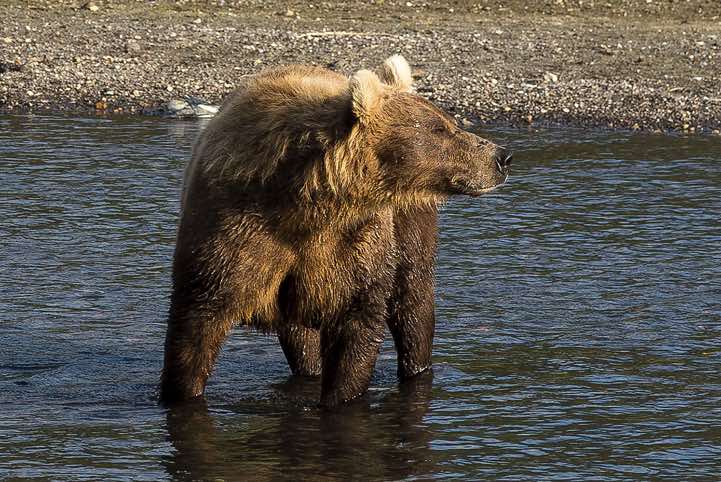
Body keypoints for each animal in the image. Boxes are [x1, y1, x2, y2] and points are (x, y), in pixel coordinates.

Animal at [160, 55, 511, 407]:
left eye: (449, 121)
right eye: (439, 128)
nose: (502, 157)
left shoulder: (354, 245)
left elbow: (356, 327)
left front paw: (340, 396)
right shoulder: (233, 233)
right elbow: (196, 328)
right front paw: (181, 394)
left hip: (408, 227)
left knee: (414, 304)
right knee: (300, 336)